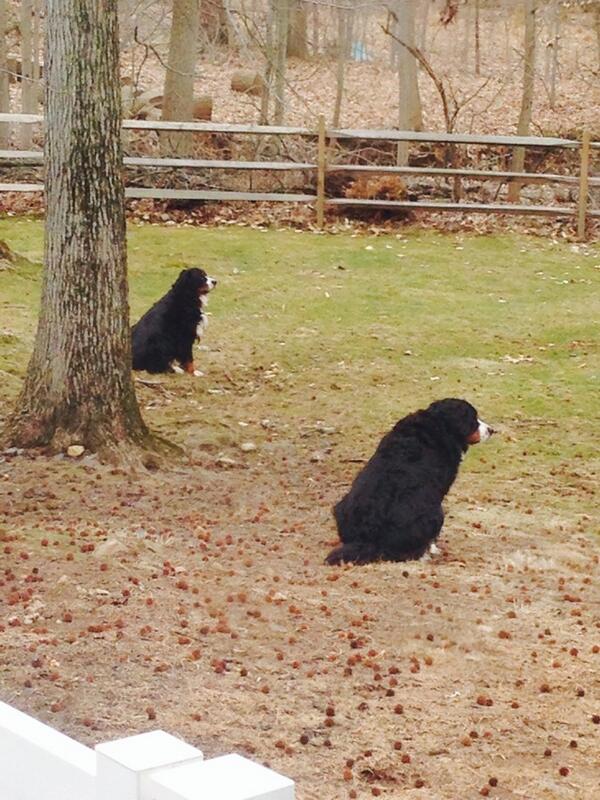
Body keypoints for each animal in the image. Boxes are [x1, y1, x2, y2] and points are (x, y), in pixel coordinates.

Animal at [326, 398, 494, 565]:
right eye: (473, 419)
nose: (491, 430)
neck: (438, 423)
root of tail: (368, 539)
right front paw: (433, 549)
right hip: (436, 514)